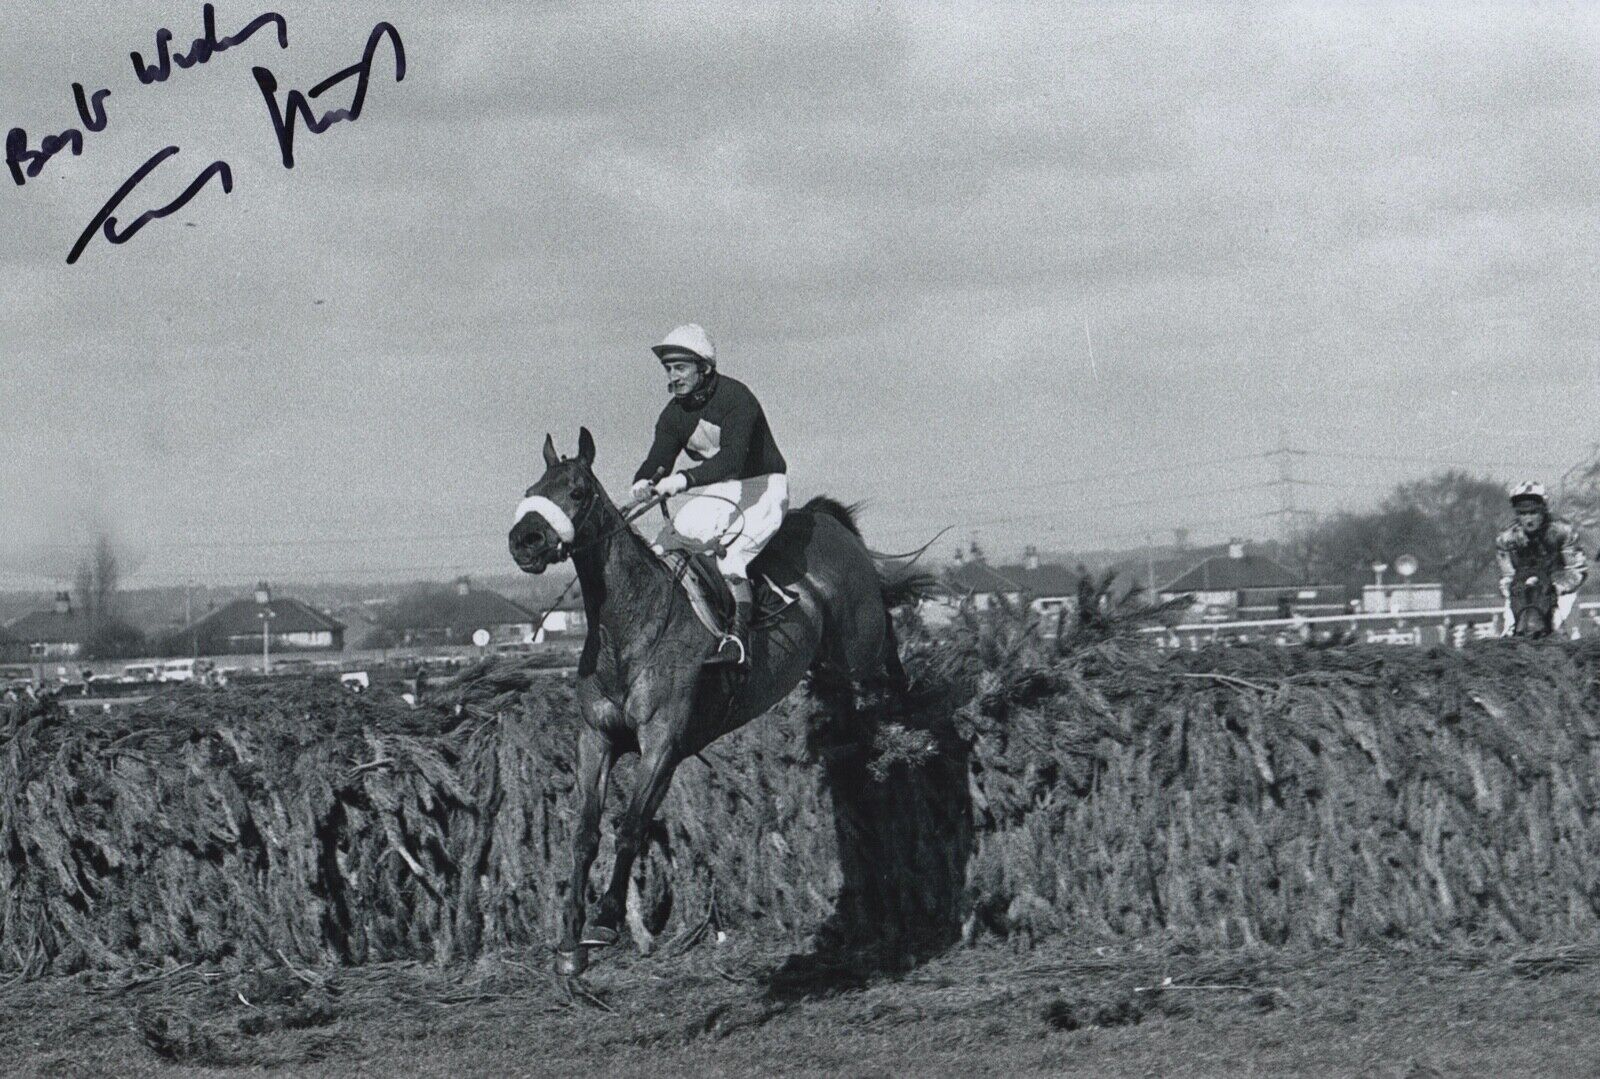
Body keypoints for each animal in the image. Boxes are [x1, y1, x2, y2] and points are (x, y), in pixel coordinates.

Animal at [505, 429, 921, 973]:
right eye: (533, 488)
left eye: (576, 491)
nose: (524, 541)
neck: (628, 628)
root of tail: (825, 519)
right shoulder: (596, 739)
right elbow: (585, 832)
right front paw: (570, 936)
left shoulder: (662, 744)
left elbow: (631, 826)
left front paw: (604, 919)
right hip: (831, 660)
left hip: (860, 641)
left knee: (886, 651)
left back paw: (907, 721)